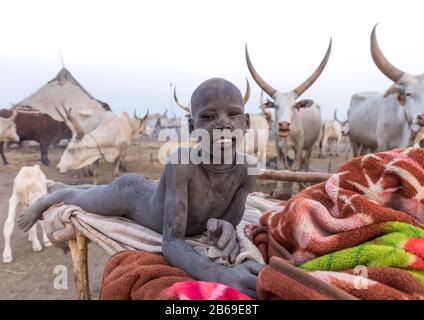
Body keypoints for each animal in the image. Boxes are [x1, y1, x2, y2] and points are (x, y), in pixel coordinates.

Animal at [245, 40, 332, 195]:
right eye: (276, 105)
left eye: (294, 105)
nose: (284, 125)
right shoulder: (278, 145)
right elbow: (281, 167)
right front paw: (278, 191)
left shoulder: (299, 144)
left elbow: (296, 167)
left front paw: (294, 190)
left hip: (310, 145)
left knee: (305, 163)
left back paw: (305, 183)